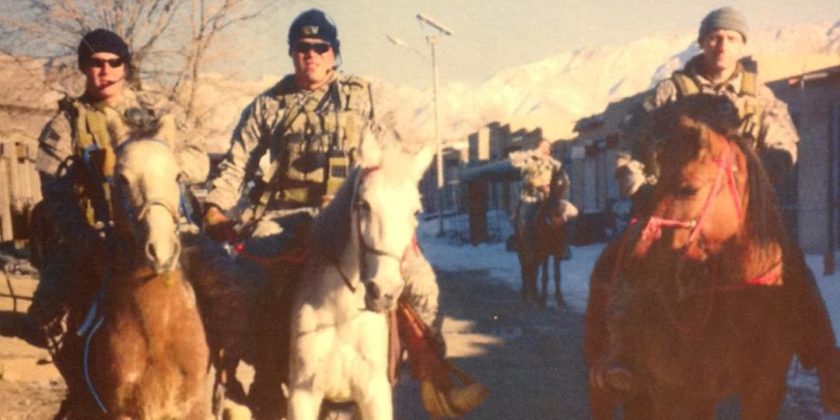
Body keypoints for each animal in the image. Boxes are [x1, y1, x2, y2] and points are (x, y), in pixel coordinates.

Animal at [514, 169, 572, 308]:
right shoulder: (545, 251)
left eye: (566, 184)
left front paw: (560, 299)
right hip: (523, 247)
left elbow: (557, 275)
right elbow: (545, 275)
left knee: (533, 268)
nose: (558, 214)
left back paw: (534, 293)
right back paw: (526, 294)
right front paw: (543, 299)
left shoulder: (557, 252)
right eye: (553, 184)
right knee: (525, 267)